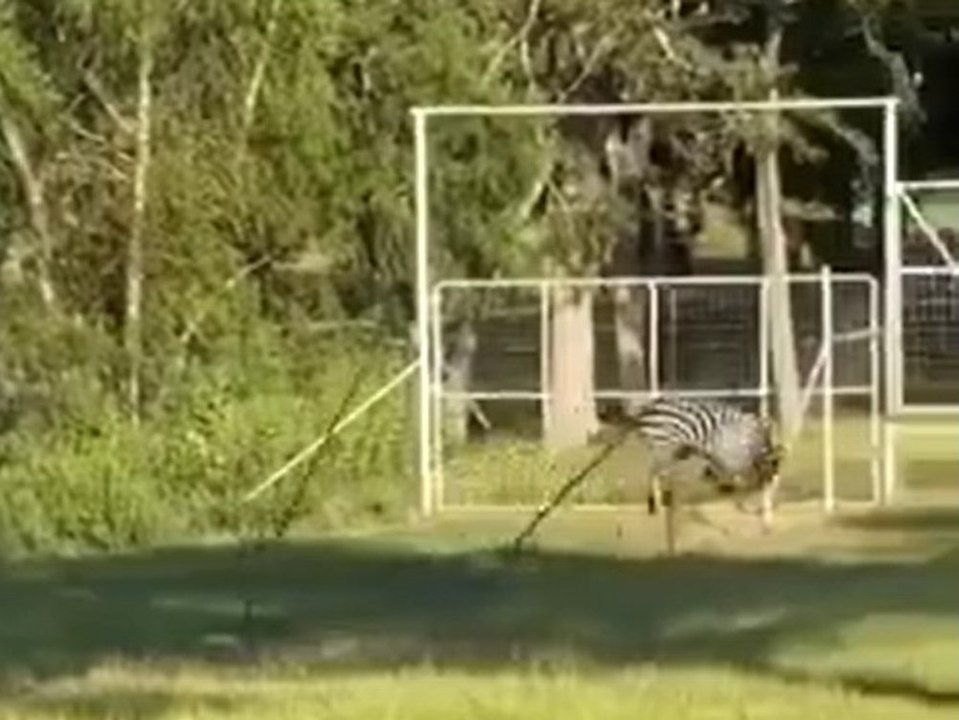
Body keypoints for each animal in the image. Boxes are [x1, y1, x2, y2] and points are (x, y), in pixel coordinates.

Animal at [627, 397, 785, 550]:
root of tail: (648, 408)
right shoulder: (731, 459)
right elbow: (739, 483)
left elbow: (737, 482)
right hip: (663, 447)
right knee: (656, 473)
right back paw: (659, 506)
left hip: (666, 450)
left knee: (657, 473)